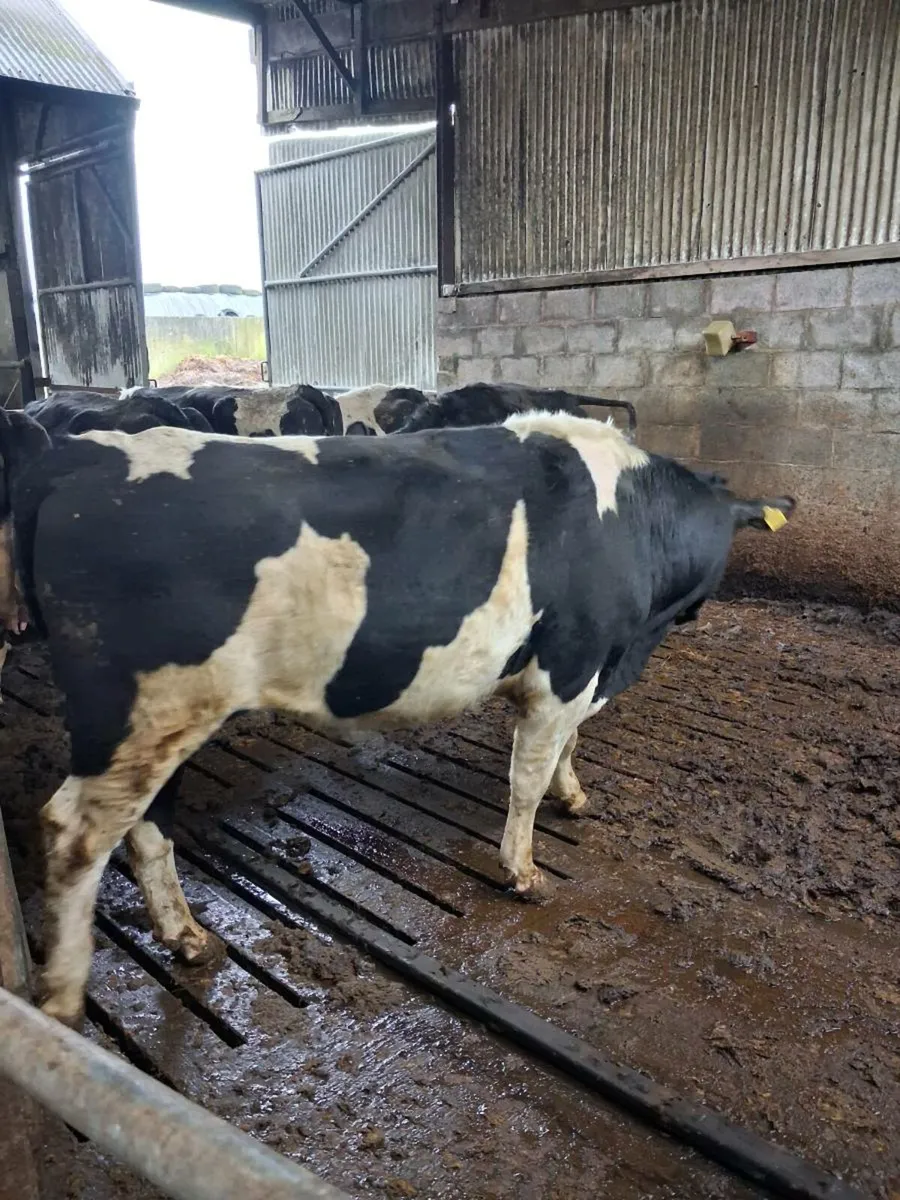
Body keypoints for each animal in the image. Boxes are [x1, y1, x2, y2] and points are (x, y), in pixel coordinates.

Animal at [0, 408, 793, 1027]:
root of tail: (79, 455)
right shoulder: (571, 661)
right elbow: (529, 775)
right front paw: (523, 869)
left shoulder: (592, 667)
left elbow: (568, 747)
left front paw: (574, 796)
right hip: (137, 711)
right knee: (75, 833)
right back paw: (64, 1001)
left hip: (162, 719)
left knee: (144, 824)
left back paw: (187, 939)